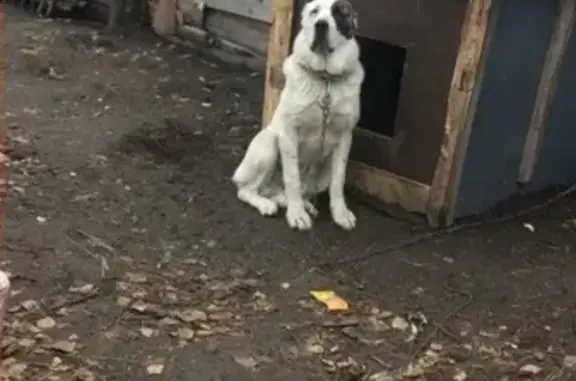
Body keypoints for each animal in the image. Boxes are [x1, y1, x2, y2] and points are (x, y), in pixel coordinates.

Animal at [231, 0, 362, 230]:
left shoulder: (345, 138)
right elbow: (292, 178)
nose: (321, 25)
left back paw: (303, 204)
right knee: (247, 190)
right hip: (269, 143)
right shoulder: (289, 133)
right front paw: (297, 215)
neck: (326, 79)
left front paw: (340, 214)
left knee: (290, 191)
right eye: (314, 11)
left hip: (321, 173)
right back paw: (267, 205)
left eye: (340, 12)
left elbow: (338, 181)